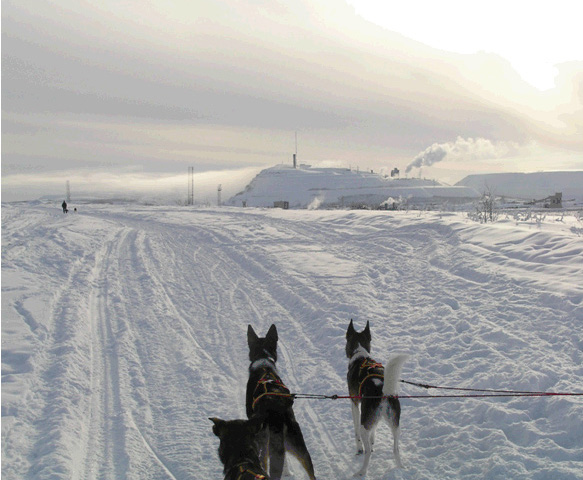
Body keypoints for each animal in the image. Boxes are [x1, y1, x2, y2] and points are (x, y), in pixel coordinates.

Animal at [346, 318, 410, 476]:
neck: (360, 355)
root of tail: (383, 392)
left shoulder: (354, 403)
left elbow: (356, 432)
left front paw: (359, 448)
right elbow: (373, 431)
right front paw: (373, 440)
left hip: (365, 424)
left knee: (368, 452)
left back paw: (361, 471)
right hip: (395, 425)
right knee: (396, 449)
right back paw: (401, 468)